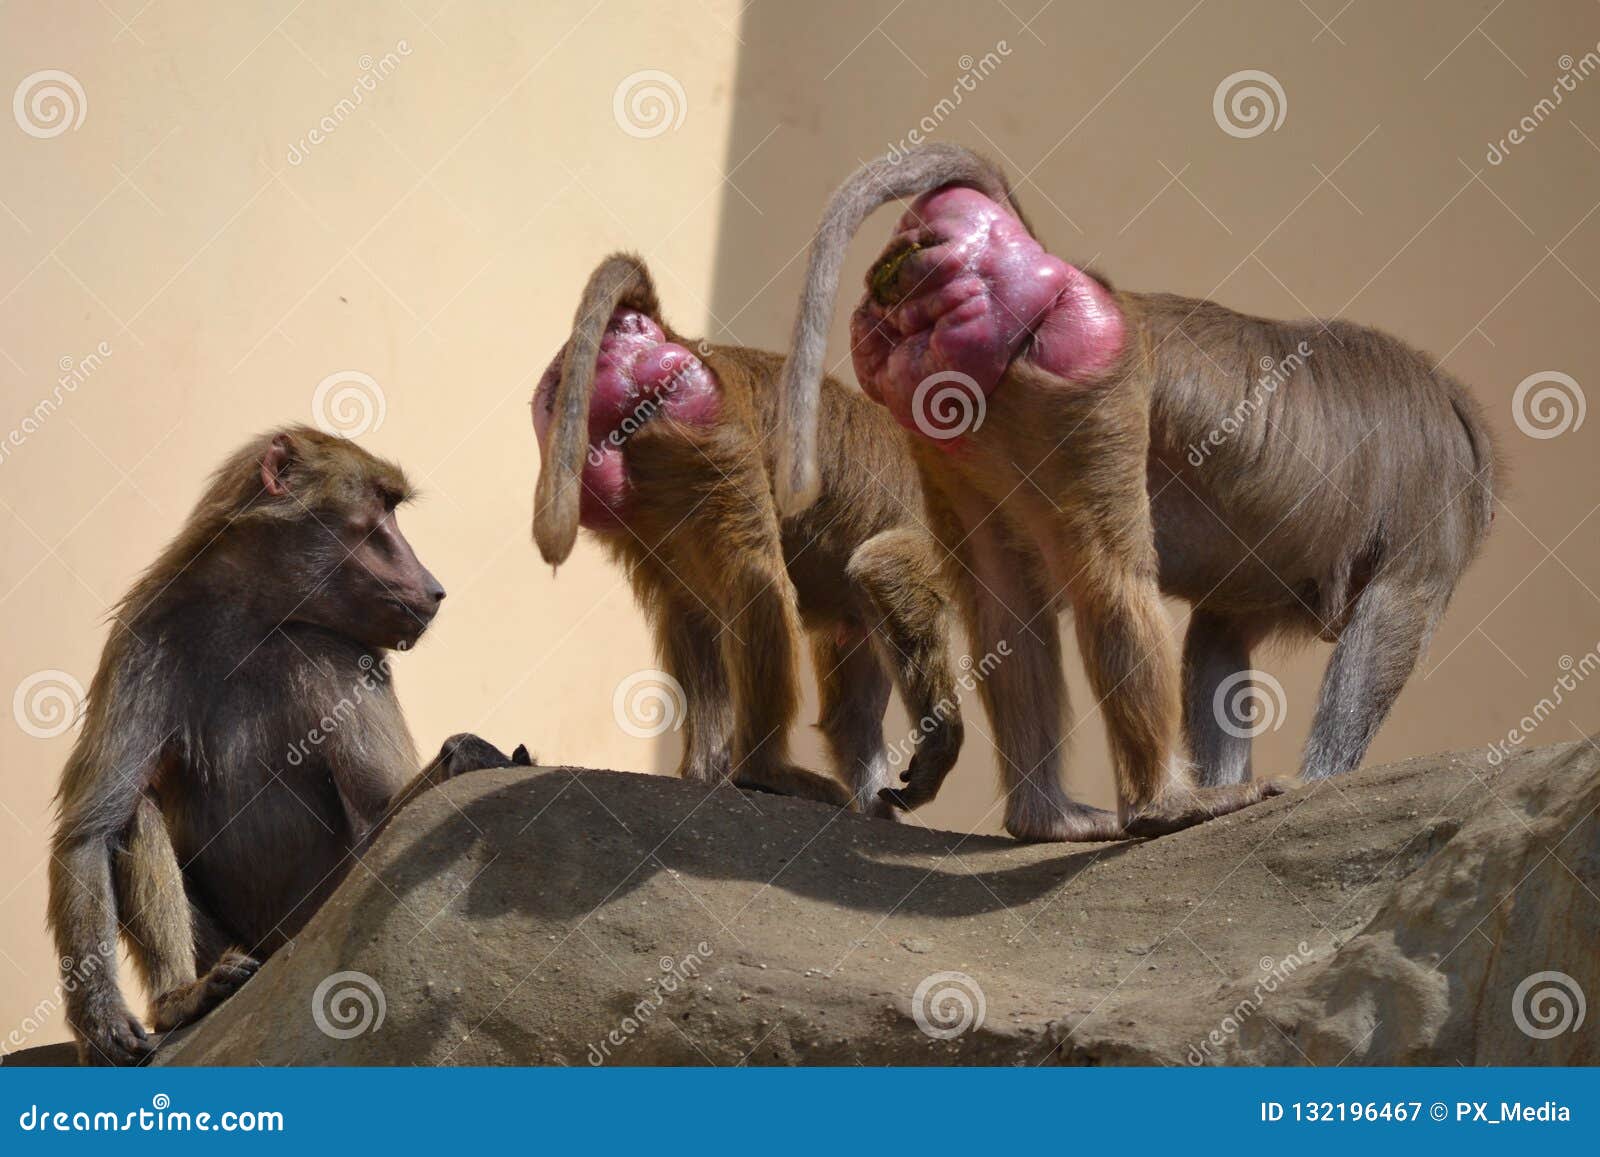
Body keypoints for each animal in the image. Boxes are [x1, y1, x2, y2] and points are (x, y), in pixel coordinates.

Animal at [47, 425, 529, 1065]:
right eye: (382, 508)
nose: (434, 588)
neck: (256, 615)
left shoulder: (350, 659)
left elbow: (386, 819)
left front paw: (472, 755)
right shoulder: (142, 634)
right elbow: (90, 830)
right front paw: (100, 1023)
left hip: (313, 925)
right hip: (239, 947)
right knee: (134, 816)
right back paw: (182, 998)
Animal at [532, 253, 965, 817]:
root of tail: (678, 342)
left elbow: (852, 711)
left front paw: (880, 808)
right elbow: (884, 566)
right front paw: (938, 750)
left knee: (690, 606)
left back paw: (706, 772)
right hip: (699, 421)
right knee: (755, 580)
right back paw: (763, 771)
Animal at [775, 143, 1496, 840]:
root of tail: (1061, 275)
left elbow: (1216, 636)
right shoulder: (1435, 508)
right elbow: (1390, 616)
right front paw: (1320, 783)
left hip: (953, 420)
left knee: (1005, 600)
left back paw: (1047, 819)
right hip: (1091, 370)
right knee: (1111, 579)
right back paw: (1163, 806)